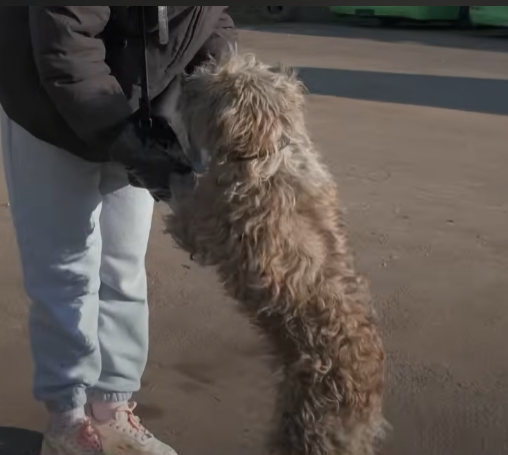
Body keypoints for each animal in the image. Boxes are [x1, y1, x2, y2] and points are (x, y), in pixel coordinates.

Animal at [165, 53, 388, 455]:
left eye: (213, 87)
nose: (186, 79)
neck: (270, 150)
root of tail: (367, 408)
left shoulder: (201, 225)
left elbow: (186, 201)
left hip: (306, 428)